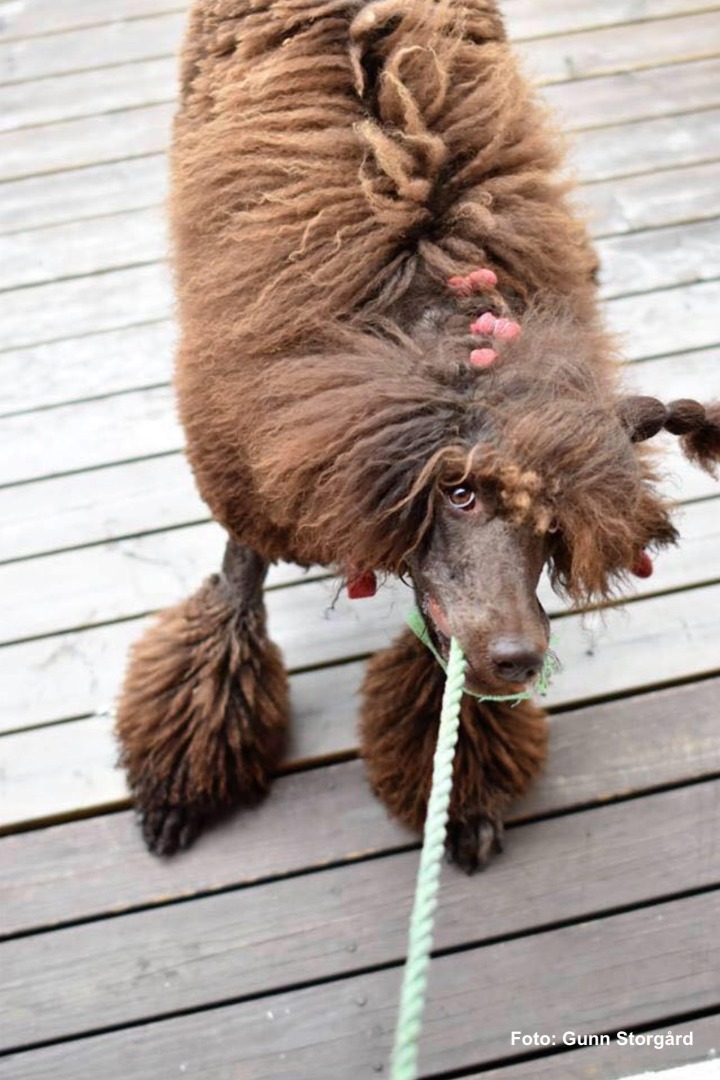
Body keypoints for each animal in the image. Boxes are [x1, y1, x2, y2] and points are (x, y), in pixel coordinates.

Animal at [117, 0, 720, 868]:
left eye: (554, 525)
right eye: (458, 492)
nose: (518, 660)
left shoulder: (458, 601)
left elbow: (445, 684)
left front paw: (461, 800)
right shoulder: (251, 499)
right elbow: (227, 616)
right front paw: (180, 787)